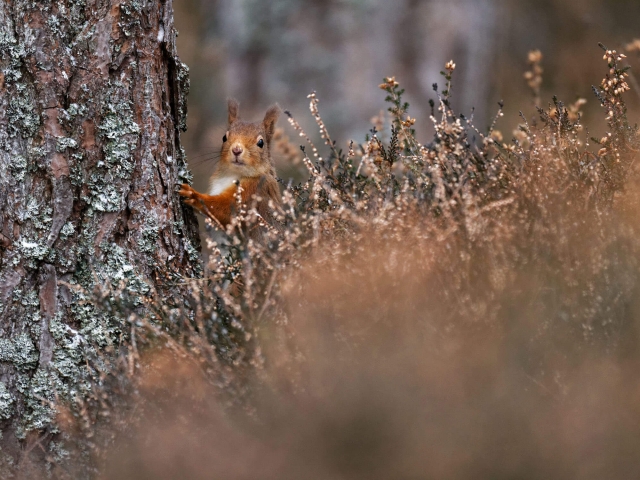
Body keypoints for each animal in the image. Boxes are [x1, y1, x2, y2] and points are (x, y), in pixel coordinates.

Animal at [179, 99, 282, 231]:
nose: (236, 150)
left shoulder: (253, 192)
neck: (232, 174)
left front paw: (193, 195)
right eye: (224, 137)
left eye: (261, 143)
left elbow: (225, 210)